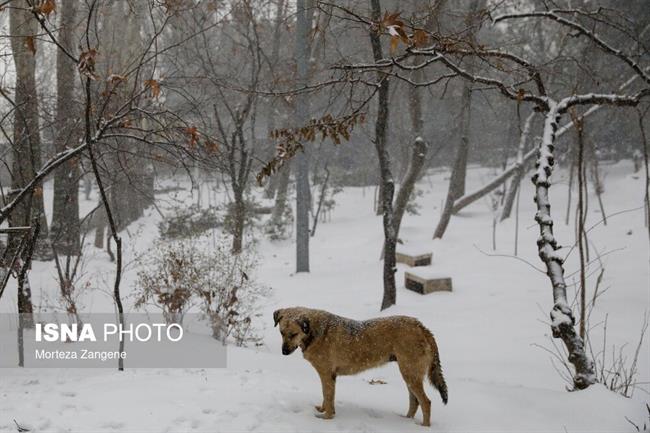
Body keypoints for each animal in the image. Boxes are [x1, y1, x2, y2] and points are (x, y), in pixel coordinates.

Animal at [272, 308, 446, 426]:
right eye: (281, 332)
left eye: (293, 334)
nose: (284, 352)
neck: (314, 331)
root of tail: (421, 327)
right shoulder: (329, 376)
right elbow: (326, 397)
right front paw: (323, 410)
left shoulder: (326, 374)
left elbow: (327, 396)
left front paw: (327, 418)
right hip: (409, 374)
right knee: (414, 401)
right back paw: (405, 421)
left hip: (410, 374)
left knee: (426, 402)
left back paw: (424, 426)